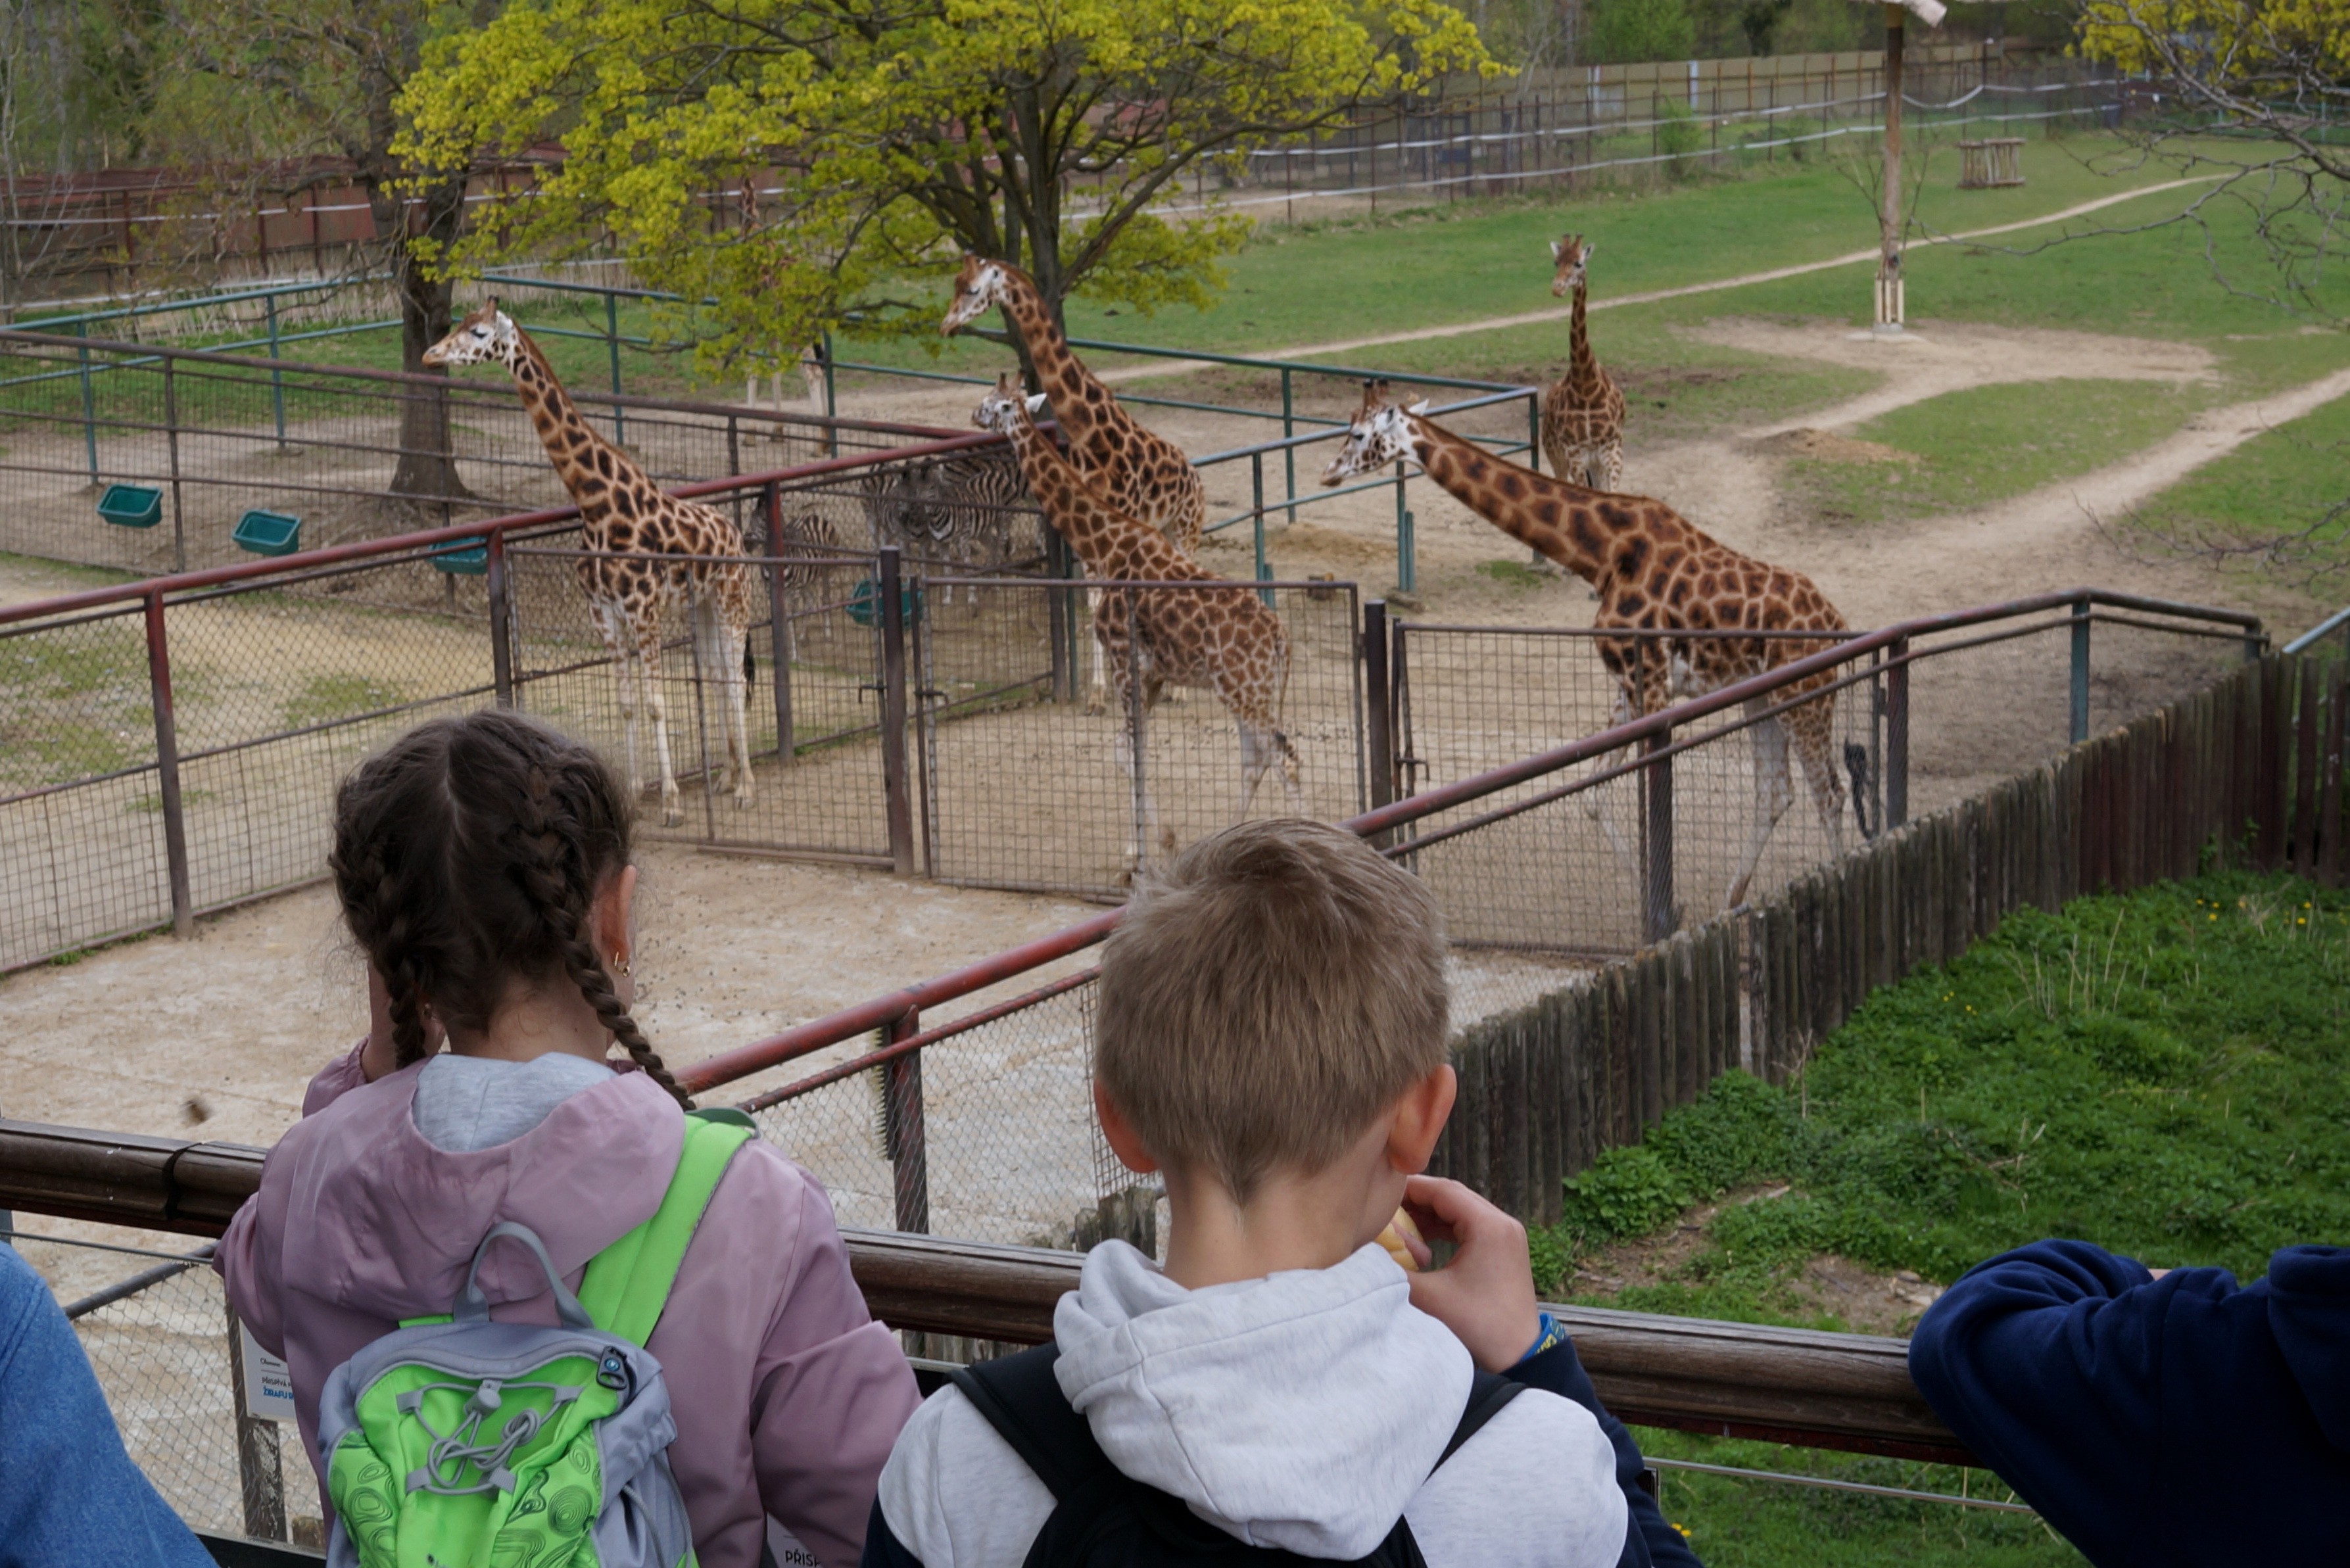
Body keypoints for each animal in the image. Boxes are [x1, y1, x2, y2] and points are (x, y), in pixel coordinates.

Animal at [423, 300, 758, 827]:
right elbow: (626, 704)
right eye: (458, 324)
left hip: (733, 603)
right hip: (703, 608)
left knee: (734, 676)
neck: (595, 504)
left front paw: (671, 802)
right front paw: (635, 791)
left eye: (478, 332)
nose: (430, 355)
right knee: (718, 675)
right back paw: (726, 777)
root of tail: (736, 537)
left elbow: (656, 703)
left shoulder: (643, 611)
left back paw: (747, 786)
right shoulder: (605, 613)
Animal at [942, 256, 1205, 713]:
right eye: (955, 283)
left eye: (973, 290)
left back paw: (1182, 689)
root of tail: (1195, 474)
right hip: (1164, 530)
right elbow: (1093, 600)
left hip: (1188, 525)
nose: (945, 324)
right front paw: (1099, 693)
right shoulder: (1090, 537)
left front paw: (1121, 687)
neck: (1089, 433)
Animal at [973, 376, 1299, 871]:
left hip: (1242, 687)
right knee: (1257, 758)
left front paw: (1146, 850)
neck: (1105, 543)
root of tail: (1280, 637)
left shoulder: (1125, 658)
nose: (976, 415)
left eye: (1002, 404)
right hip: (1249, 688)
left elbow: (1128, 750)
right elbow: (1131, 749)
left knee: (1283, 756)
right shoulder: (1153, 671)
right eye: (988, 399)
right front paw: (1145, 844)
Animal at [1323, 381, 1857, 913]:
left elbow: (1652, 793)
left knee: (1830, 793)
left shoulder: (1652, 682)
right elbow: (1594, 797)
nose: (1327, 473)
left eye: (1357, 433)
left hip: (1805, 698)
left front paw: (1664, 910)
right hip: (1762, 696)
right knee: (1777, 792)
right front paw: (1658, 901)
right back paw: (1731, 902)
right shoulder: (1628, 685)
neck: (1601, 554)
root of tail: (1837, 620)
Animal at [1542, 235, 1628, 493]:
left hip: (1595, 463)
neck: (1586, 386)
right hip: (1555, 455)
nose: (1557, 288)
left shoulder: (1612, 450)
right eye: (1556, 262)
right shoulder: (1575, 455)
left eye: (1578, 263)